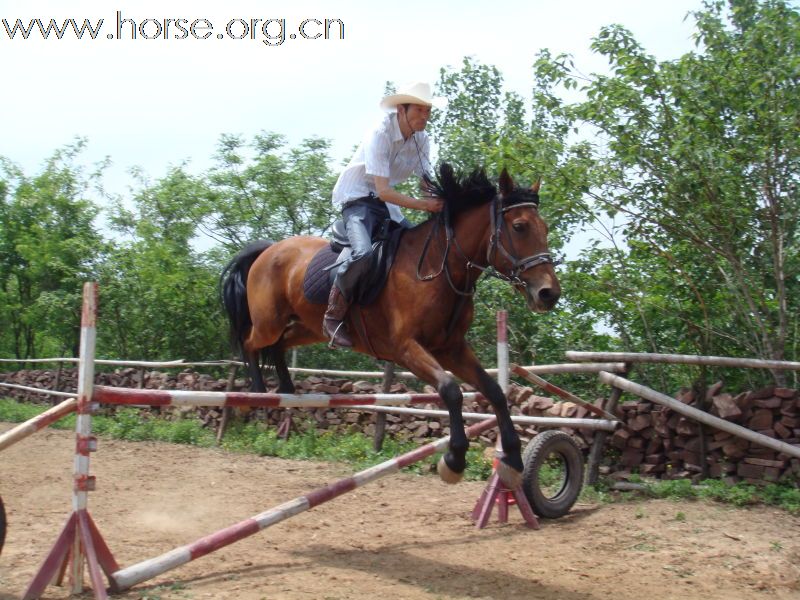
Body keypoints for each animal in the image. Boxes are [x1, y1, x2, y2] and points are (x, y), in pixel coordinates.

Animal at [220, 163, 564, 488]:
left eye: (545, 228)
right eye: (519, 227)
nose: (549, 294)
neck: (439, 268)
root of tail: (267, 250)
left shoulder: (451, 348)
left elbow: (494, 391)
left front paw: (513, 459)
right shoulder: (406, 348)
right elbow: (450, 390)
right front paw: (453, 460)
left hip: (307, 328)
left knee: (279, 344)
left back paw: (286, 389)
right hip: (269, 322)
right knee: (249, 342)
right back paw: (253, 396)